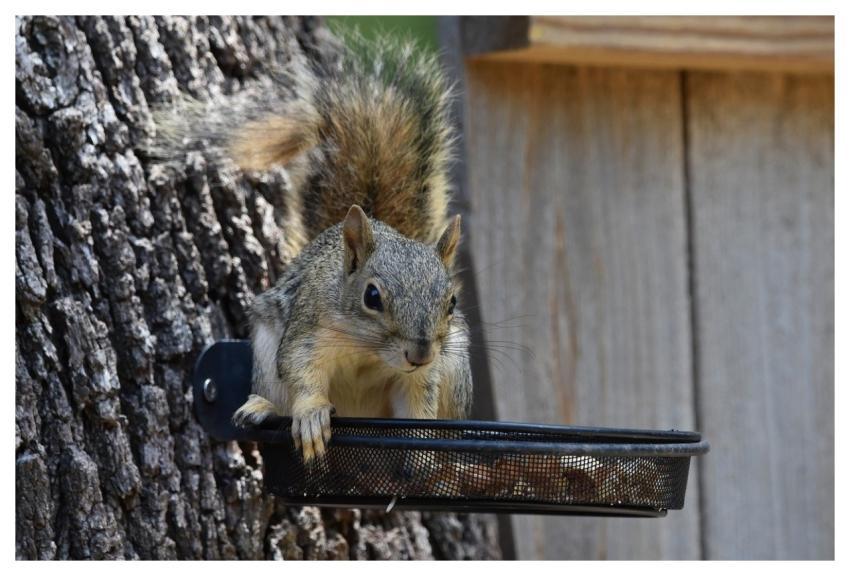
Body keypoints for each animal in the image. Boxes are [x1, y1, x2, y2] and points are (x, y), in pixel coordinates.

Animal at [155, 33, 472, 462]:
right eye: (372, 296)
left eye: (452, 302)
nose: (419, 354)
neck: (368, 350)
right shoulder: (308, 329)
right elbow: (301, 371)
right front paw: (310, 416)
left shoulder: (423, 375)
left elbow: (417, 400)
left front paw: (423, 447)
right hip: (265, 348)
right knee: (277, 389)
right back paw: (263, 406)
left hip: (454, 365)